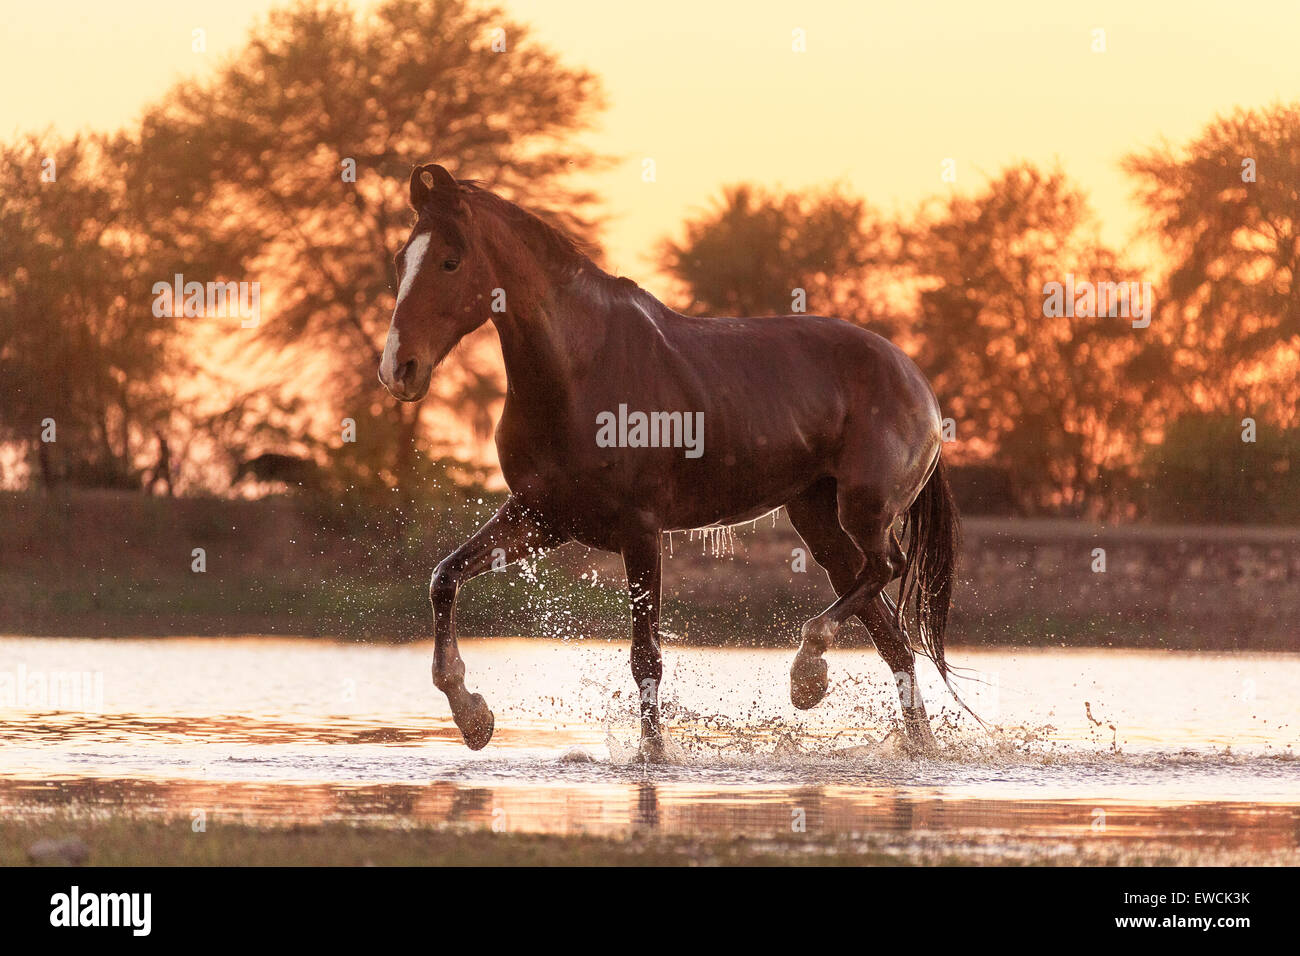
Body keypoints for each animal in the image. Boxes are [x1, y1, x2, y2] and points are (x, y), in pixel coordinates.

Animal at [379, 166, 967, 764]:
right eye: (402, 260)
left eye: (451, 261)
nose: (398, 369)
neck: (578, 370)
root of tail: (917, 381)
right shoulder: (541, 518)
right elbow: (444, 577)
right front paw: (473, 717)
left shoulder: (640, 530)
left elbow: (646, 655)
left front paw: (654, 754)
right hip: (820, 521)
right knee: (892, 635)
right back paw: (913, 743)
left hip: (863, 510)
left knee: (887, 571)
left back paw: (807, 676)